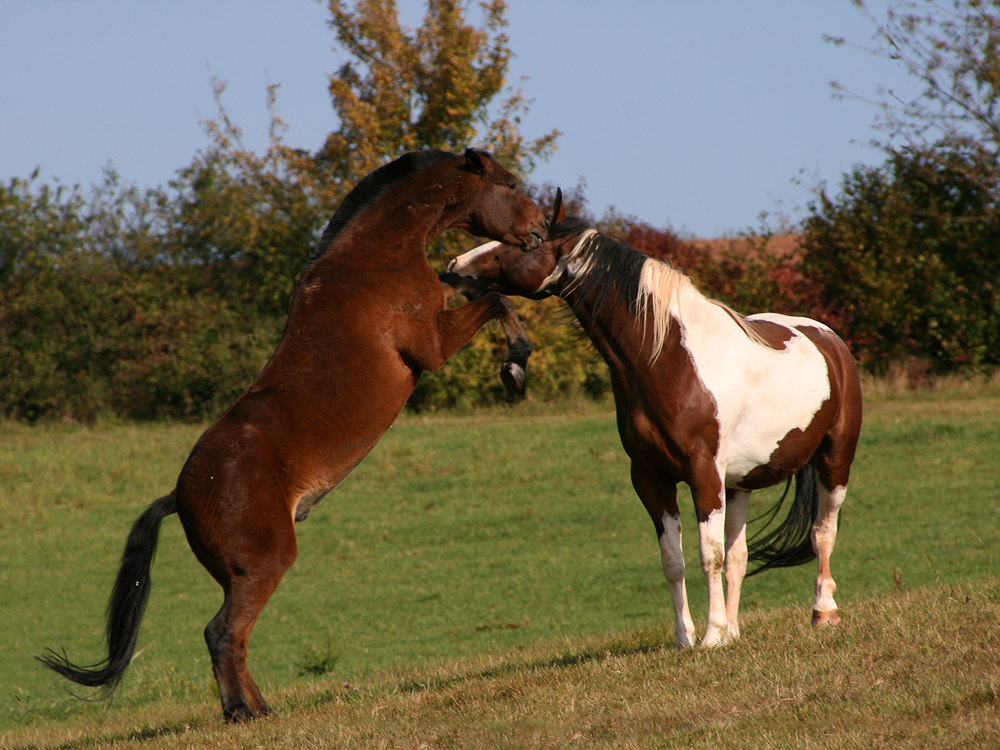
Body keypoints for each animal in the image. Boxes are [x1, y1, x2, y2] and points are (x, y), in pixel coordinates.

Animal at [37, 148, 548, 724]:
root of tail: (180, 495)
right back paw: (242, 714)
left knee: (233, 637)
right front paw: (515, 368)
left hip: (238, 575)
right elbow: (499, 302)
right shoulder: (431, 346)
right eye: (509, 184)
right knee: (222, 634)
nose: (539, 229)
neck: (376, 256)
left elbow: (474, 288)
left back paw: (262, 710)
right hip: (265, 564)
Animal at [450, 192, 864, 652]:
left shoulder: (703, 474)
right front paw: (686, 638)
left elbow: (708, 555)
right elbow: (674, 560)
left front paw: (711, 636)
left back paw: (822, 613)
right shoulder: (651, 478)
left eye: (531, 240)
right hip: (739, 483)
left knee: (822, 531)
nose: (455, 266)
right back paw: (736, 630)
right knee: (740, 556)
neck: (666, 358)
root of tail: (829, 340)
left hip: (834, 460)